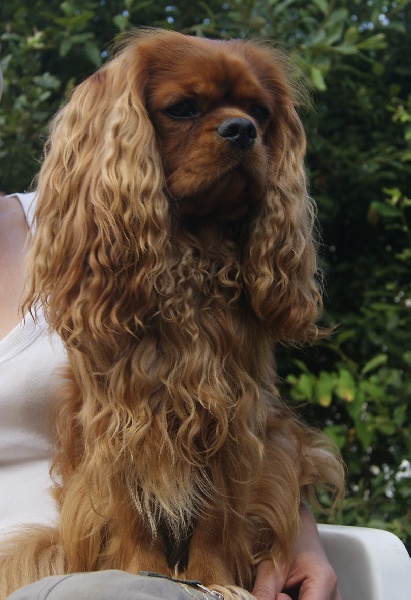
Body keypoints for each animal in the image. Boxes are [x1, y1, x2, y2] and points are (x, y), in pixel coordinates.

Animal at [0, 29, 344, 599]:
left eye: (260, 112)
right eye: (183, 108)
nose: (242, 129)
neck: (191, 260)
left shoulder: (231, 415)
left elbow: (217, 515)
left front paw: (213, 579)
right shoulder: (122, 419)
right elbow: (134, 511)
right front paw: (143, 568)